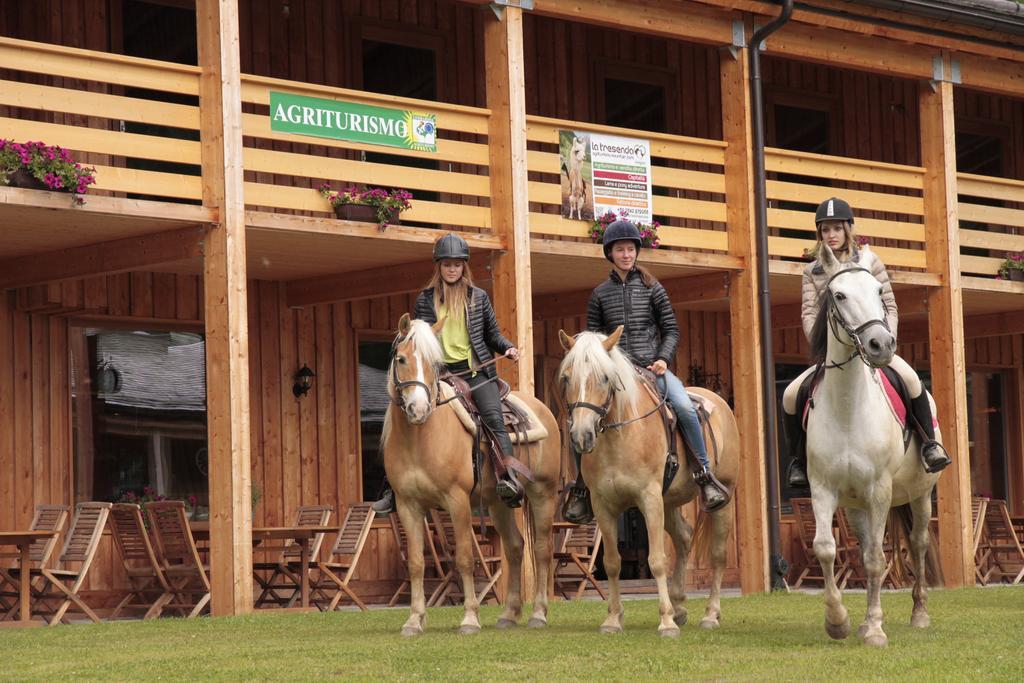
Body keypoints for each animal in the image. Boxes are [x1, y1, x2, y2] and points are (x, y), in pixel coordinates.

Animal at [382, 315, 561, 634]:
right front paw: (414, 619)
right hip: (498, 502)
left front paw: (469, 618)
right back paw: (509, 614)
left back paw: (539, 614)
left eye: (432, 363)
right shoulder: (407, 505)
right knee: (515, 547)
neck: (420, 438)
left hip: (543, 492)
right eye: (401, 359)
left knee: (541, 549)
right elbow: (415, 562)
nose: (418, 409)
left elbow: (465, 558)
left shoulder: (457, 500)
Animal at [557, 325, 741, 634]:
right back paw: (680, 606)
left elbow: (656, 560)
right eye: (567, 377)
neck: (620, 437)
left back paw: (709, 614)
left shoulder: (649, 498)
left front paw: (666, 622)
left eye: (605, 377)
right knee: (684, 538)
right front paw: (613, 619)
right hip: (670, 502)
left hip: (721, 497)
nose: (582, 435)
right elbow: (612, 562)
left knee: (717, 554)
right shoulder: (604, 505)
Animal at [806, 245, 942, 647]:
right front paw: (839, 622)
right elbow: (827, 548)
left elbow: (877, 560)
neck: (849, 408)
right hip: (856, 506)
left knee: (917, 543)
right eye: (839, 295)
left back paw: (918, 614)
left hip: (919, 496)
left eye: (879, 292)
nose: (880, 345)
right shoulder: (823, 489)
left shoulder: (880, 489)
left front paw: (877, 631)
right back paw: (865, 621)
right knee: (867, 547)